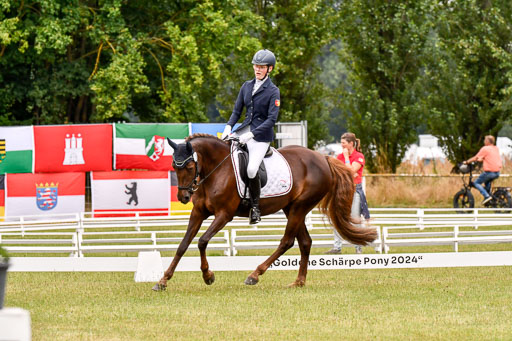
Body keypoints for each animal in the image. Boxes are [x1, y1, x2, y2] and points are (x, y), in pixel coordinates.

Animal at [154, 133, 378, 290]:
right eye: (174, 166)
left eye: (190, 167)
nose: (183, 197)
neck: (217, 169)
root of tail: (323, 158)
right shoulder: (198, 213)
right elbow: (183, 245)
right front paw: (163, 280)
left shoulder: (224, 215)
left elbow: (202, 241)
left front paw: (208, 276)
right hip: (292, 208)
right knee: (305, 242)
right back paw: (298, 282)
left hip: (299, 207)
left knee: (287, 241)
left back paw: (254, 275)